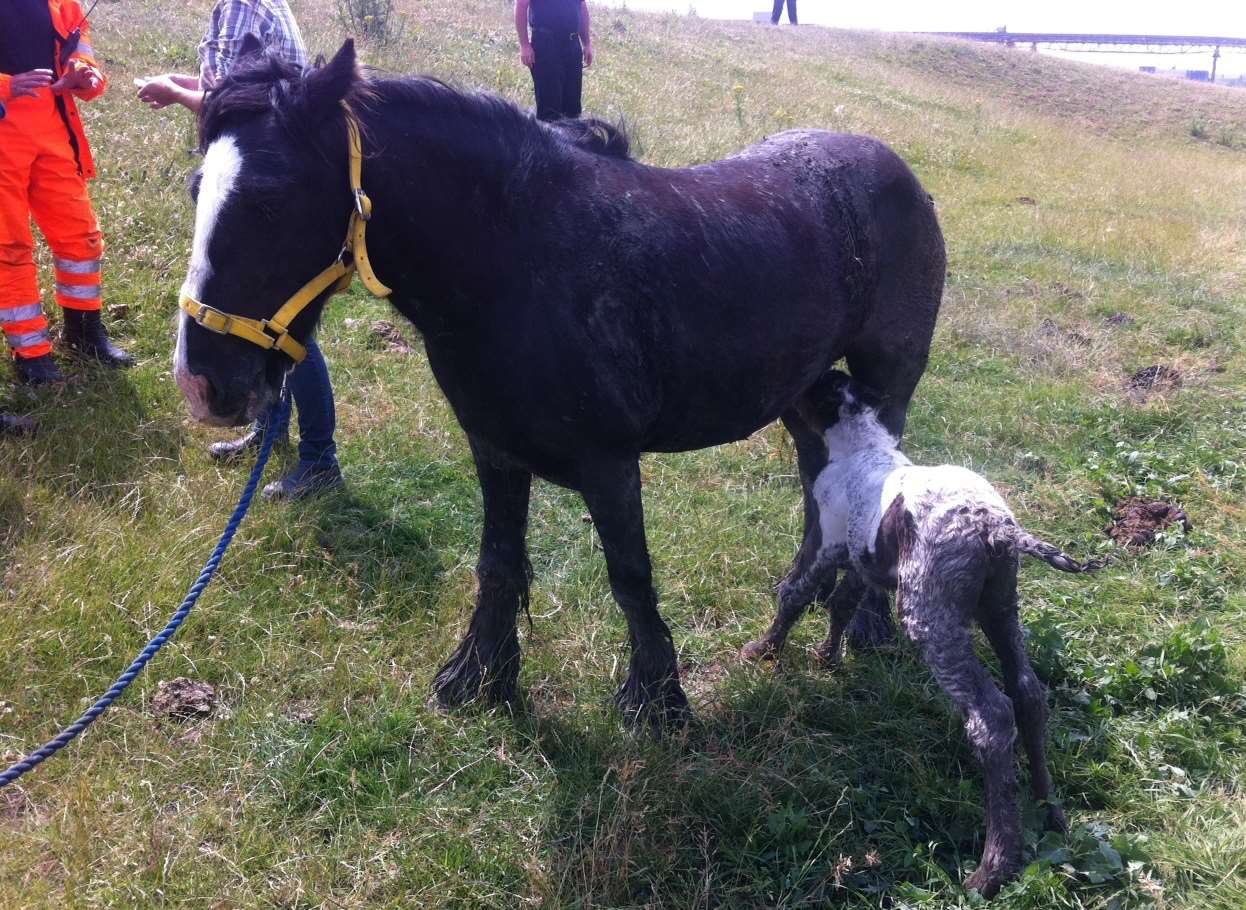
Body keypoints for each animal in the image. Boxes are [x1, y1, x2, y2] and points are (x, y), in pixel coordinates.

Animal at [173, 42, 941, 728]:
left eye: (270, 201)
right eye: (196, 189)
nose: (203, 383)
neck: (519, 259)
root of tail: (897, 170)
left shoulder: (609, 465)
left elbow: (629, 577)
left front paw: (656, 703)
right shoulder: (494, 450)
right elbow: (498, 564)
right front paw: (479, 679)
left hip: (887, 391)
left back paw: (865, 628)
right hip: (806, 405)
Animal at [737, 368, 1101, 892]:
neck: (862, 446)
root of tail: (996, 527)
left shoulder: (825, 542)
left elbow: (795, 594)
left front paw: (764, 650)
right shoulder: (861, 562)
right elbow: (843, 604)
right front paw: (829, 656)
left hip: (931, 616)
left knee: (993, 716)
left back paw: (992, 867)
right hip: (1000, 607)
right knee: (1029, 693)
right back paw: (1050, 810)